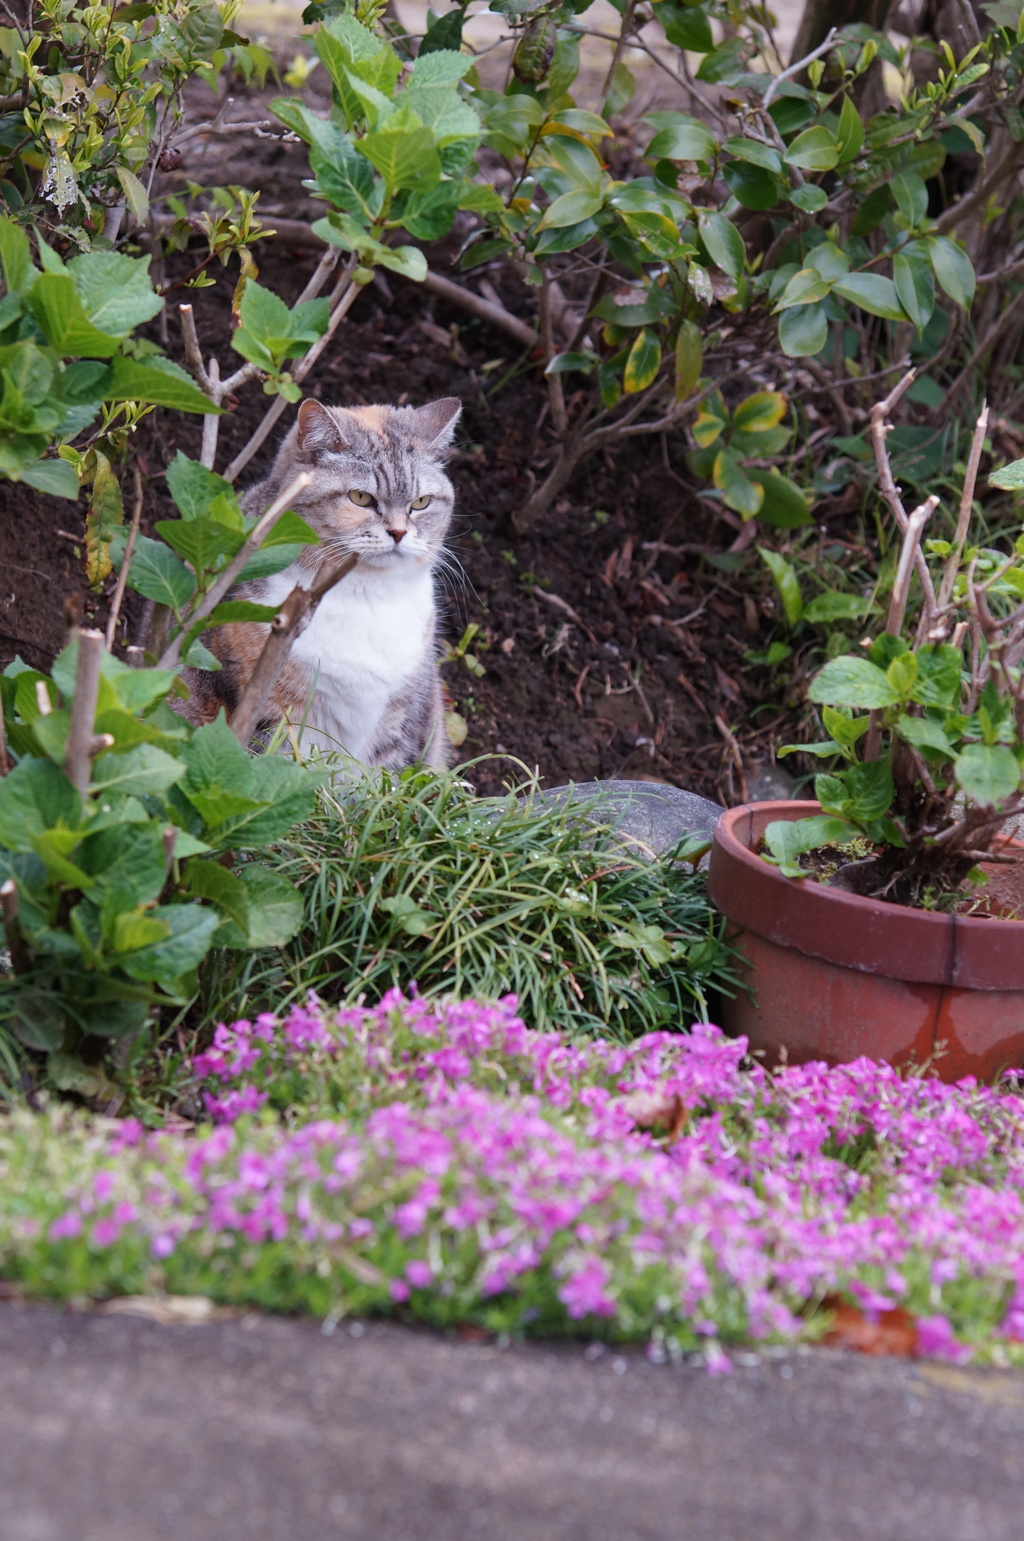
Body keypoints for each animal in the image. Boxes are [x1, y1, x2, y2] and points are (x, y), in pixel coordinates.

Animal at [177, 391, 461, 764]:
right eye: (361, 498)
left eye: (421, 502)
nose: (399, 532)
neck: (366, 594)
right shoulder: (266, 706)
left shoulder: (403, 718)